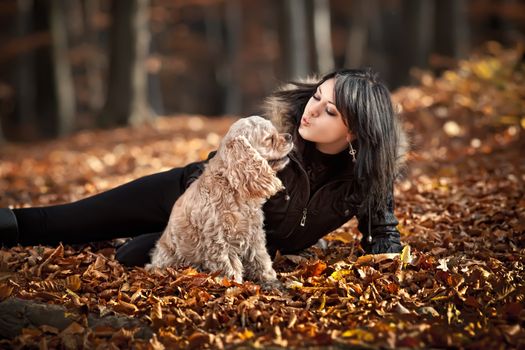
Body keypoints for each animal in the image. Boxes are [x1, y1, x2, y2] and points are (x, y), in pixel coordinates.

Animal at [145, 115, 292, 288]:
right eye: (269, 139)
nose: (290, 136)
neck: (231, 188)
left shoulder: (254, 234)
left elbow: (260, 258)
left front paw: (269, 279)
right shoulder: (219, 240)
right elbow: (229, 266)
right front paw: (234, 285)